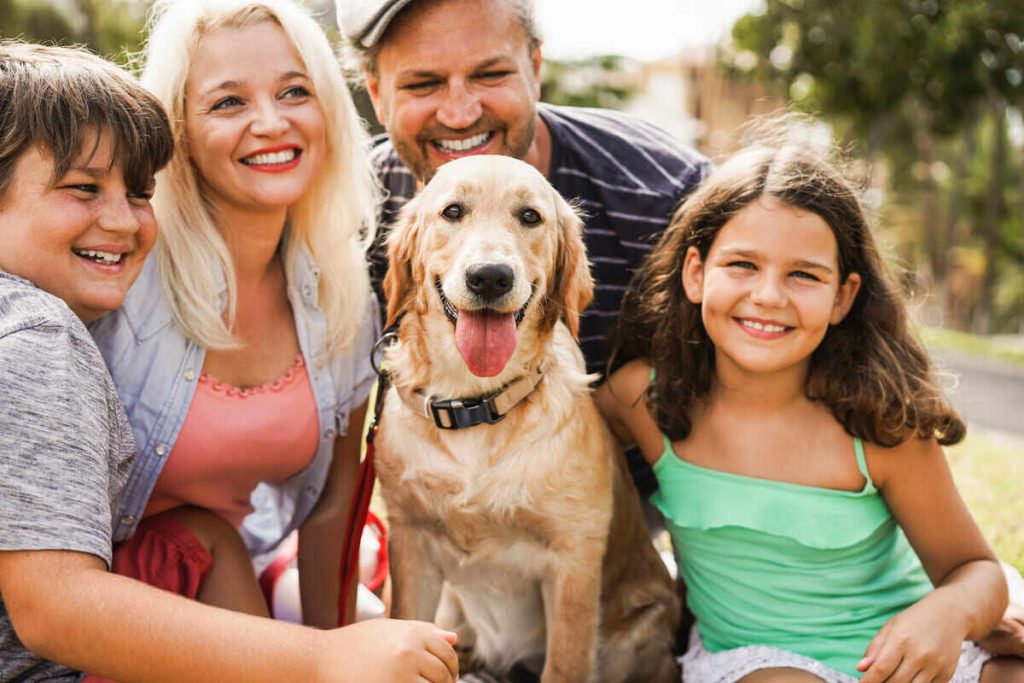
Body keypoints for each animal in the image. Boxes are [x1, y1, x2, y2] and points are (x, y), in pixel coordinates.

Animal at [376, 156, 679, 683]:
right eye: (452, 211)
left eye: (530, 217)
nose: (490, 277)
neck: (475, 406)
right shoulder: (411, 543)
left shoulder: (573, 561)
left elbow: (565, 665)